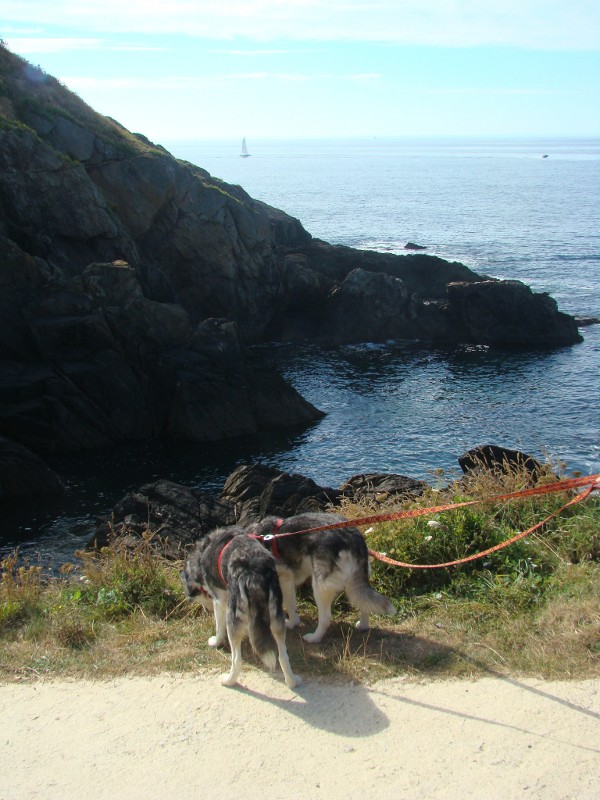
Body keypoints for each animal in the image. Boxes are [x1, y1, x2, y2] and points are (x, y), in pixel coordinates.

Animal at [178, 524, 300, 688]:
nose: (205, 610)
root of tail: (254, 573)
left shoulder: (219, 600)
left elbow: (219, 628)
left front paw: (216, 642)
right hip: (277, 618)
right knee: (283, 656)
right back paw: (292, 681)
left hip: (233, 618)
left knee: (237, 659)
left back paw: (229, 680)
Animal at [246, 512, 396, 644]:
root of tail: (354, 536)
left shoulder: (285, 579)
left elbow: (290, 605)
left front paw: (293, 623)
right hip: (354, 583)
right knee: (363, 602)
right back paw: (363, 625)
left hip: (320, 587)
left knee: (326, 618)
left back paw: (315, 637)